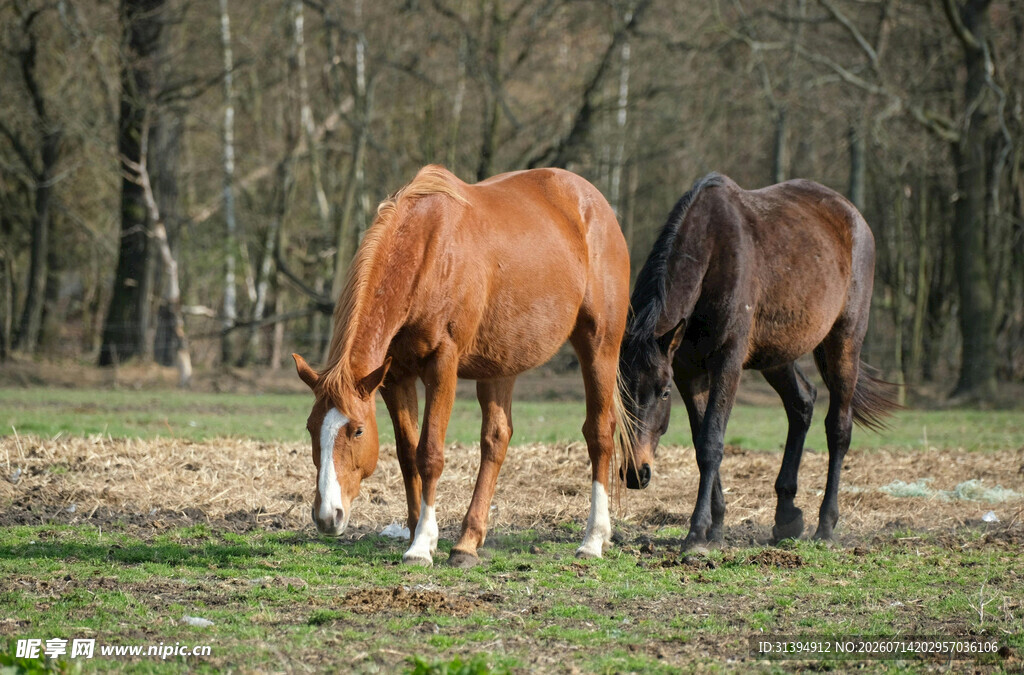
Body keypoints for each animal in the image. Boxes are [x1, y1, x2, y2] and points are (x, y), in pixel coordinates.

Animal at [293, 164, 631, 567]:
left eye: (357, 430)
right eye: (311, 427)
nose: (328, 516)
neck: (426, 255)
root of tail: (595, 204)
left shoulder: (442, 365)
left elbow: (429, 453)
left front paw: (421, 545)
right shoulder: (395, 376)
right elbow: (408, 455)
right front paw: (416, 531)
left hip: (599, 346)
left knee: (599, 433)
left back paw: (593, 538)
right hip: (501, 364)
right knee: (496, 439)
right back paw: (468, 541)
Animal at [618, 172, 898, 551]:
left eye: (662, 393)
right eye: (621, 392)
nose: (636, 472)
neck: (711, 253)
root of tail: (853, 216)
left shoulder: (727, 363)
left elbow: (711, 442)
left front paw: (697, 533)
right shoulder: (689, 374)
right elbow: (700, 442)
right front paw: (716, 525)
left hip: (844, 342)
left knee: (838, 428)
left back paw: (825, 527)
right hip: (777, 356)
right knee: (802, 403)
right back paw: (786, 517)